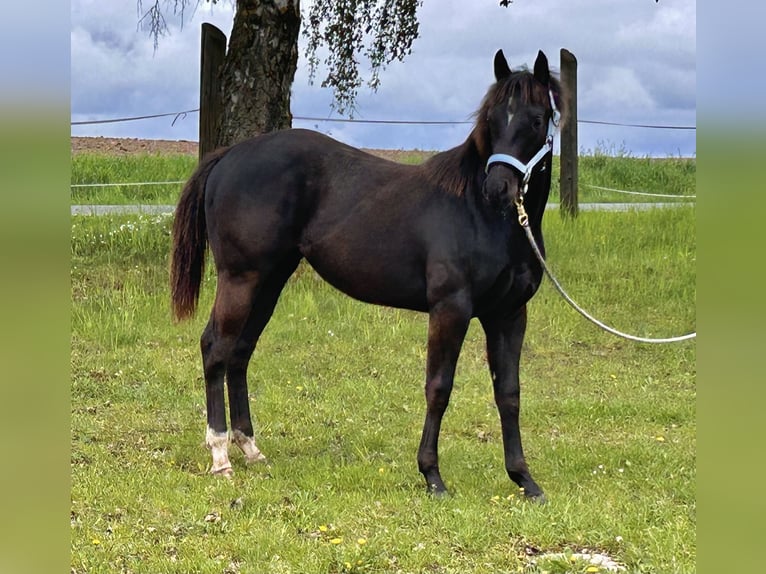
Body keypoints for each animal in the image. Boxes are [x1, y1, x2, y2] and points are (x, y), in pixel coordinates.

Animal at [171, 49, 566, 500]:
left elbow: (509, 393)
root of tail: (230, 155)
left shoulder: (509, 314)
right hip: (241, 278)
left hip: (269, 281)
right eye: (494, 118)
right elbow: (439, 387)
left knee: (239, 351)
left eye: (537, 119)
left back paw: (250, 448)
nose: (498, 189)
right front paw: (432, 475)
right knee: (216, 348)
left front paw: (524, 479)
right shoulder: (451, 309)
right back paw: (220, 454)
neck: (480, 214)